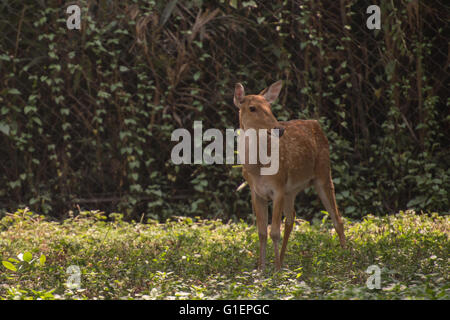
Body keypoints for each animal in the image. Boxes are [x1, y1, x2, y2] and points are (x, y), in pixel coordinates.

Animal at [234, 79, 346, 270]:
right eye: (252, 108)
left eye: (269, 106)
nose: (279, 129)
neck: (257, 168)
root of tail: (316, 123)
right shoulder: (256, 192)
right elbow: (262, 232)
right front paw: (261, 269)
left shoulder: (278, 187)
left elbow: (274, 232)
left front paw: (276, 270)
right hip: (291, 190)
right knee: (291, 217)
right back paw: (283, 260)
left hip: (323, 173)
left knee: (337, 218)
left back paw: (348, 257)